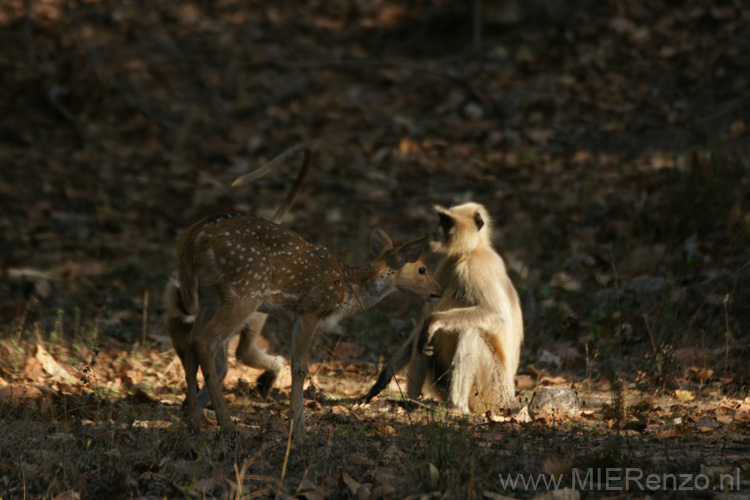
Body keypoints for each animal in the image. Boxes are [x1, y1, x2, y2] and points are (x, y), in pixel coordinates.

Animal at [172, 149, 440, 442]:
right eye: (423, 269)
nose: (438, 292)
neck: (347, 289)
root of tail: (193, 238)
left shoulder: (294, 317)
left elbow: (296, 363)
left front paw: (299, 425)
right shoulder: (311, 310)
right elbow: (300, 366)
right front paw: (298, 432)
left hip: (210, 295)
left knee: (191, 339)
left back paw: (194, 423)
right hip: (243, 290)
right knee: (205, 341)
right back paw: (227, 425)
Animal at [364, 201, 524, 412]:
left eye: (446, 223)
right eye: (441, 220)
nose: (436, 230)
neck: (471, 251)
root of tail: (509, 397)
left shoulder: (475, 266)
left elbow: (497, 314)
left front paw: (434, 321)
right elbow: (423, 323)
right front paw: (383, 377)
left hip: (492, 391)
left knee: (470, 331)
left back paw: (457, 408)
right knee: (423, 338)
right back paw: (411, 403)